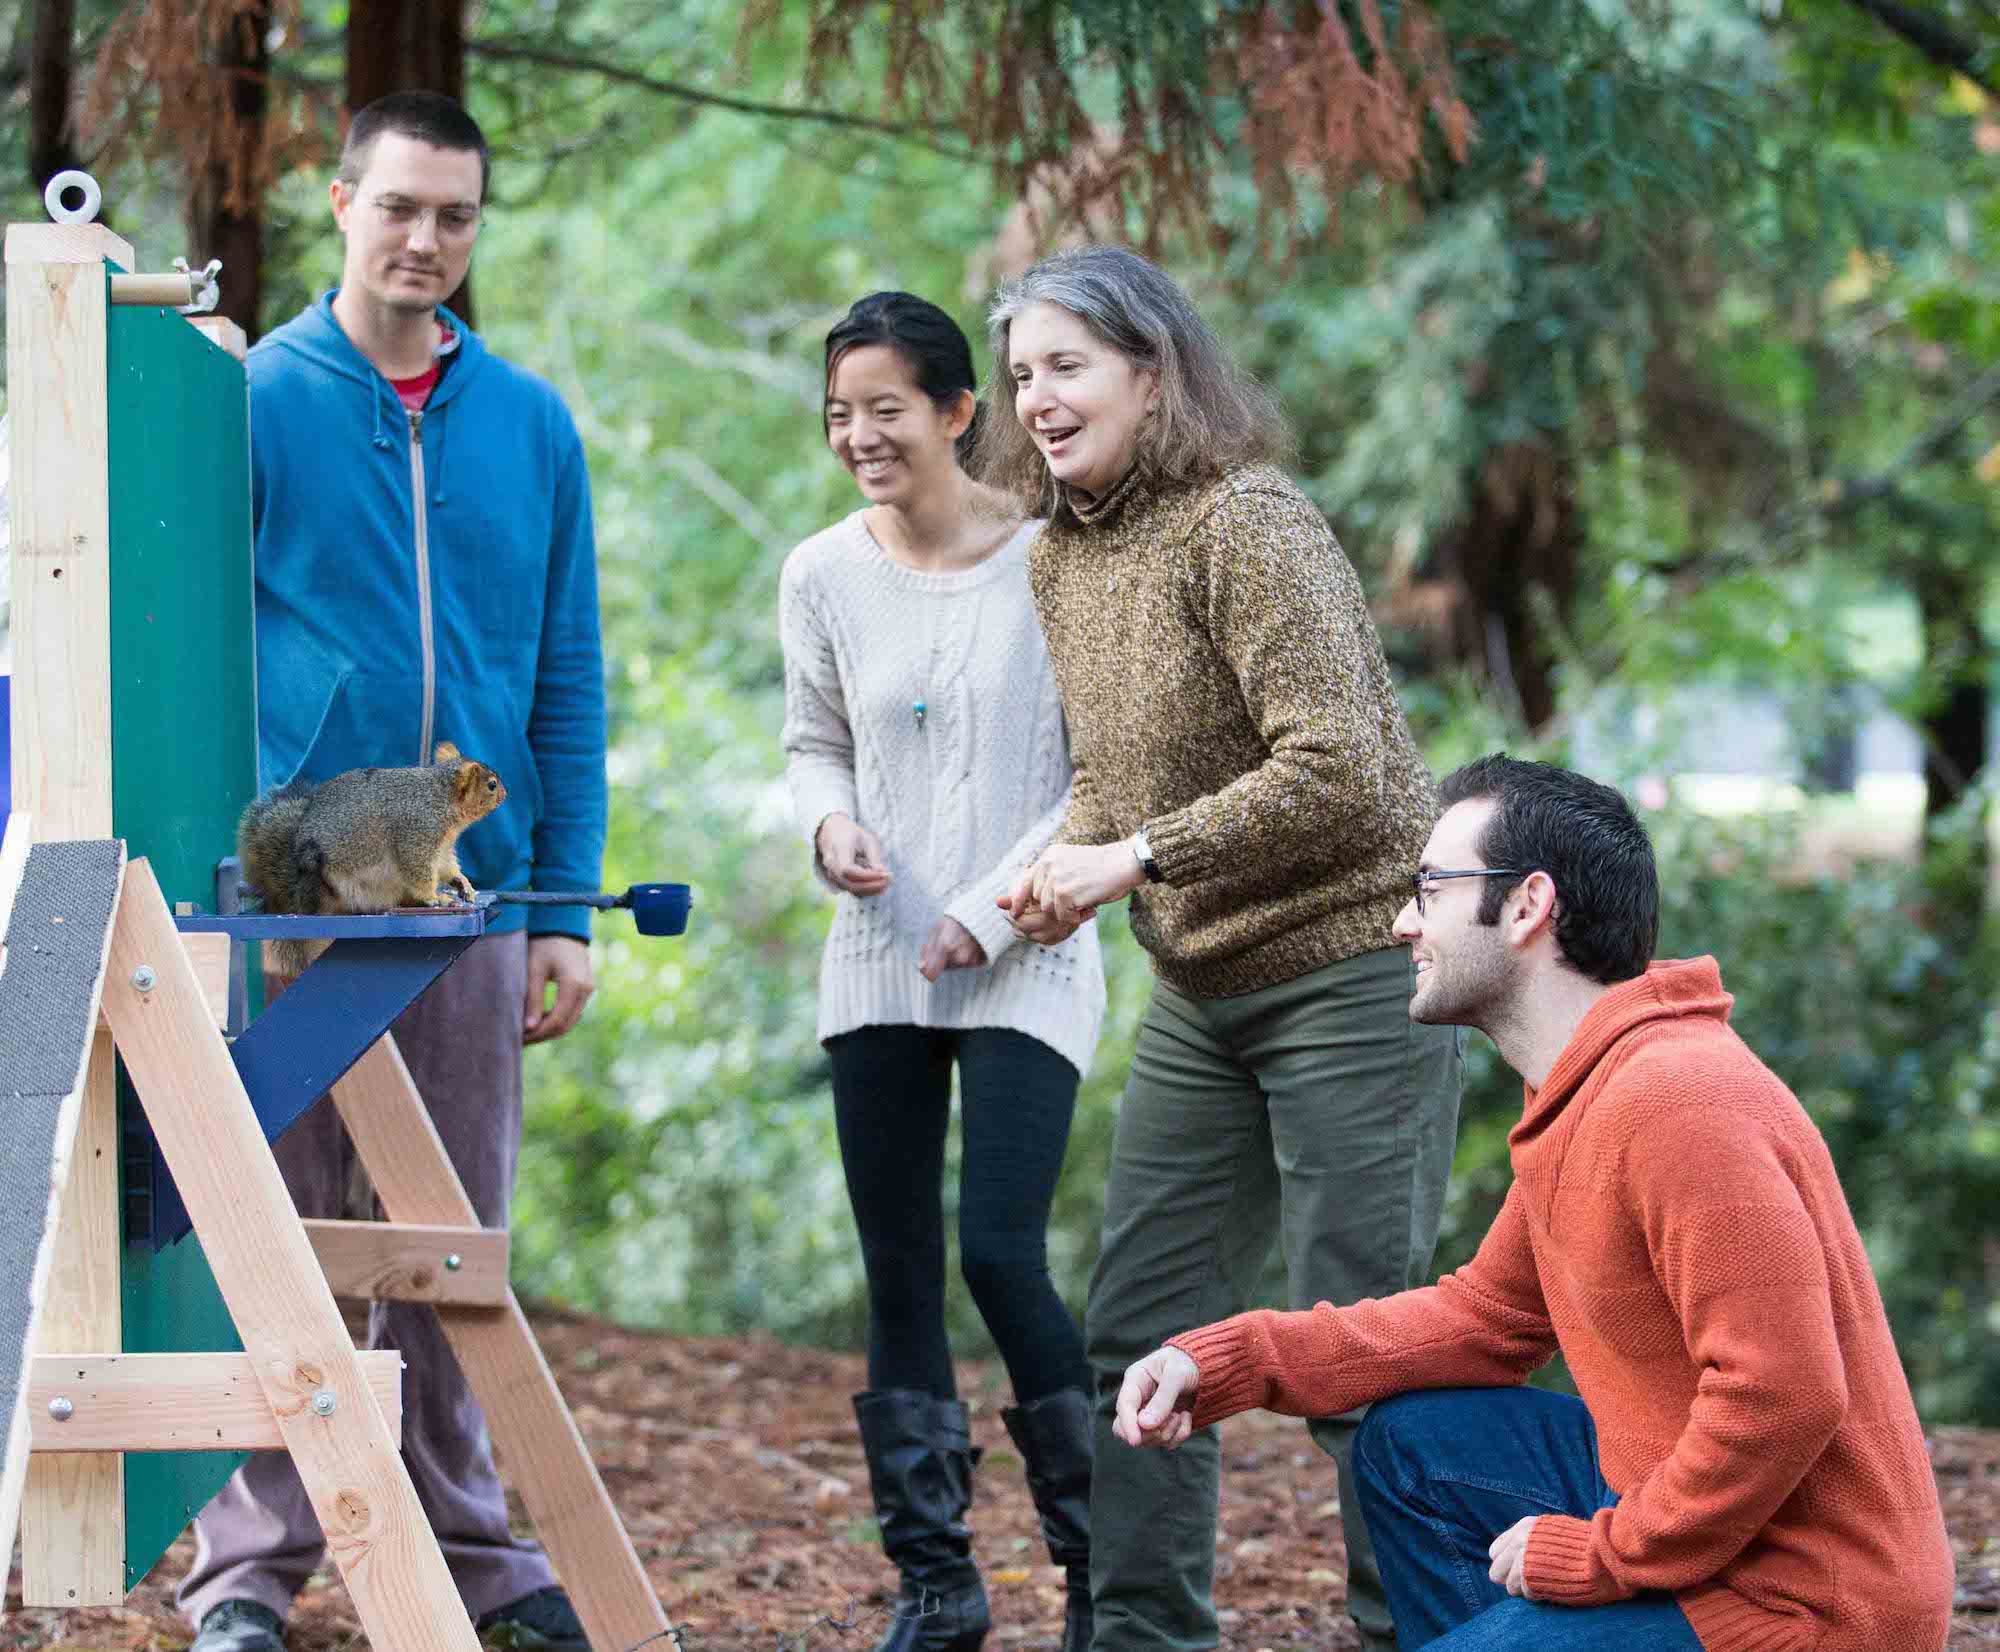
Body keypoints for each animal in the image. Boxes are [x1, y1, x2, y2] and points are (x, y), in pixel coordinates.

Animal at [236, 736, 508, 964]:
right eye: (491, 785)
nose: (505, 794)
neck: (439, 797)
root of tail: (300, 899)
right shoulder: (416, 836)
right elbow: (418, 871)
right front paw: (435, 897)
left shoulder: (441, 848)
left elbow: (446, 867)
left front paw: (462, 884)